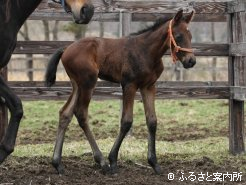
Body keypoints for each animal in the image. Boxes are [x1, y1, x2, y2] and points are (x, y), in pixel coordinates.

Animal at [45, 9, 196, 175]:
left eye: (190, 36)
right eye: (179, 36)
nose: (191, 61)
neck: (146, 51)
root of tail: (66, 49)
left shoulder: (149, 86)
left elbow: (152, 121)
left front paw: (154, 163)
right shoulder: (129, 85)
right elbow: (126, 121)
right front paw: (113, 160)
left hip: (77, 85)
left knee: (65, 113)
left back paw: (57, 164)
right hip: (88, 83)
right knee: (81, 114)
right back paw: (102, 162)